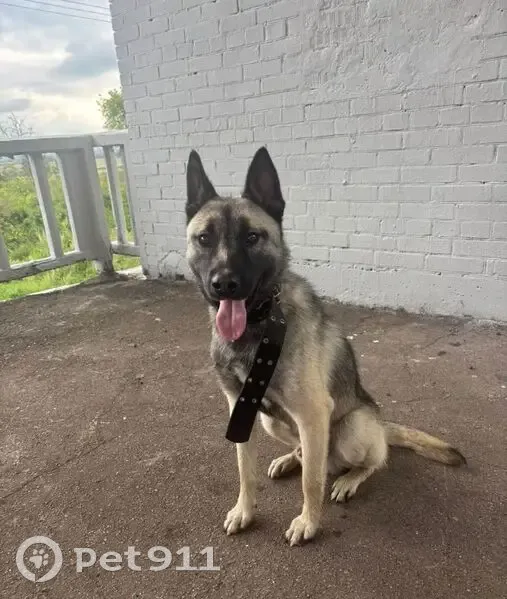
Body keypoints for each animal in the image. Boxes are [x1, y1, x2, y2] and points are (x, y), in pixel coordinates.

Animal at [185, 146, 466, 546]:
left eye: (252, 237)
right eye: (204, 238)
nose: (223, 284)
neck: (260, 324)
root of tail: (382, 425)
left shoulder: (313, 414)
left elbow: (311, 482)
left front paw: (309, 522)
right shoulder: (240, 411)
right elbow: (244, 470)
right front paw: (245, 511)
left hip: (351, 430)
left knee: (370, 461)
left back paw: (349, 478)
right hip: (271, 422)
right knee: (306, 453)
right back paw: (291, 457)